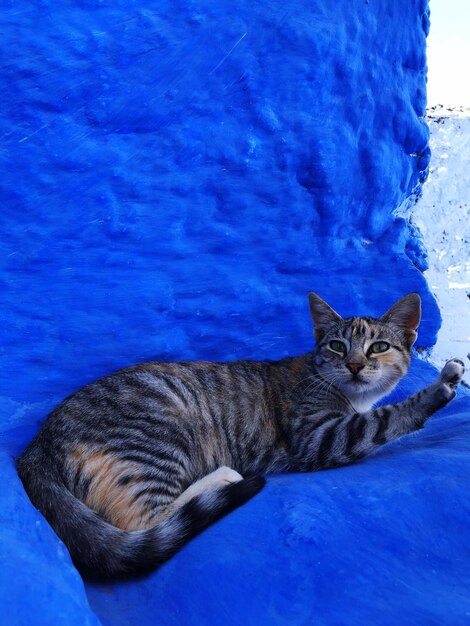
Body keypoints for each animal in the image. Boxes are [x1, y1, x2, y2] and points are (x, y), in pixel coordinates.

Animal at [16, 290, 464, 576]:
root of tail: (36, 445)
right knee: (145, 522)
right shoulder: (317, 437)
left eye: (378, 348)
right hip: (157, 436)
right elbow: (383, 420)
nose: (354, 364)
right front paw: (438, 389)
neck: (348, 395)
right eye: (337, 346)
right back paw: (226, 477)